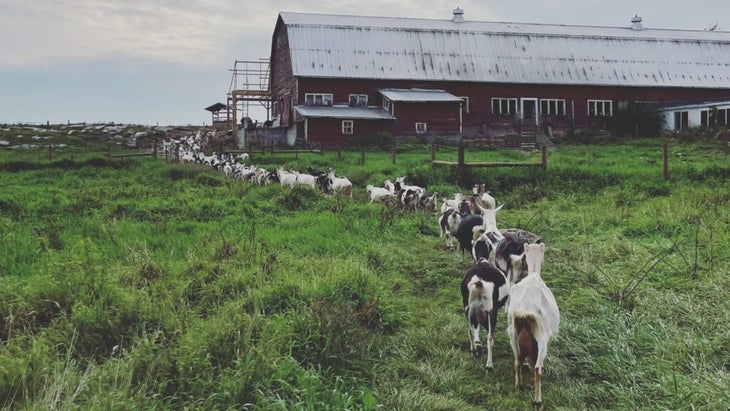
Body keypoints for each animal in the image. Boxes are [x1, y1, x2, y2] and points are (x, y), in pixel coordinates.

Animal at [506, 243, 556, 410]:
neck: (533, 273)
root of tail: (524, 313)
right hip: (541, 338)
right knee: (537, 369)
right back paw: (538, 400)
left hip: (513, 335)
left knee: (517, 361)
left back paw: (519, 385)